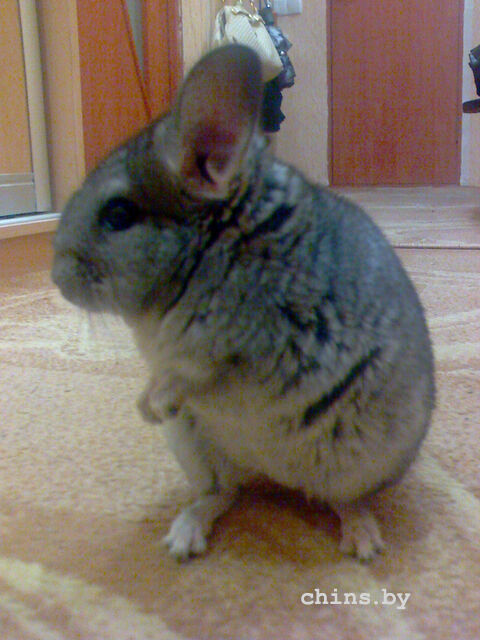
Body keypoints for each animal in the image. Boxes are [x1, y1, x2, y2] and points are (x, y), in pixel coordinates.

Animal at [52, 44, 435, 562]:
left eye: (117, 214)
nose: (56, 279)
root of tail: (275, 478)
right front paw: (144, 407)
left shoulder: (258, 355)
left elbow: (197, 377)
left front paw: (155, 404)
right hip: (197, 448)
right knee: (223, 493)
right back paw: (183, 538)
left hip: (359, 464)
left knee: (343, 501)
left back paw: (362, 541)